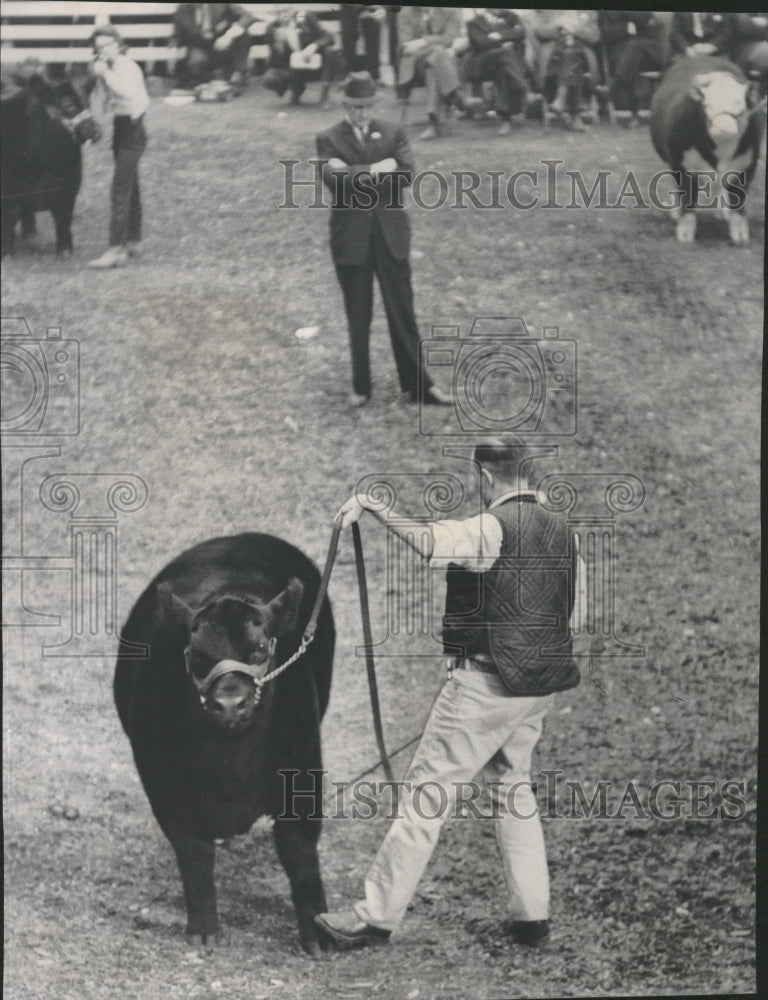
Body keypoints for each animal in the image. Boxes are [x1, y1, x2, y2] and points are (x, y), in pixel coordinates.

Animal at [0, 65, 100, 256]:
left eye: (88, 103)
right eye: (68, 106)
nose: (96, 131)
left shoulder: (69, 190)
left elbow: (64, 220)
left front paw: (65, 251)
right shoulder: (9, 193)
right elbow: (8, 220)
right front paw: (6, 252)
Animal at [112, 536, 334, 956]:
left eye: (261, 649)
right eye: (197, 655)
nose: (230, 703)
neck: (232, 772)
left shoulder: (303, 772)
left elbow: (300, 852)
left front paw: (319, 934)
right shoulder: (165, 784)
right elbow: (194, 854)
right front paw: (203, 930)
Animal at [652, 54, 764, 244]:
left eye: (740, 106)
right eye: (707, 106)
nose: (724, 127)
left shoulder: (747, 165)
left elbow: (738, 202)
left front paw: (740, 235)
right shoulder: (681, 165)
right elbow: (687, 198)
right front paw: (685, 234)